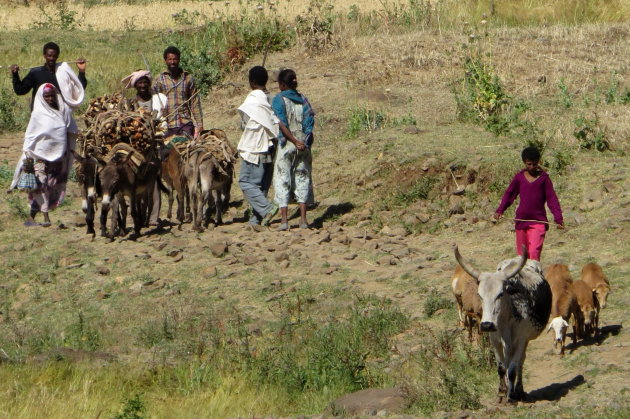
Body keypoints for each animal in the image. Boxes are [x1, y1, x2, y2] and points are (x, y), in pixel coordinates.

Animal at [454, 246, 552, 404]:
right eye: (480, 295)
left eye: (500, 294)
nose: (487, 325)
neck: (507, 319)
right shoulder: (495, 340)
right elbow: (501, 367)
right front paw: (501, 392)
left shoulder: (521, 339)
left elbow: (512, 369)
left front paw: (511, 395)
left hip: (525, 340)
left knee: (520, 362)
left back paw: (518, 390)